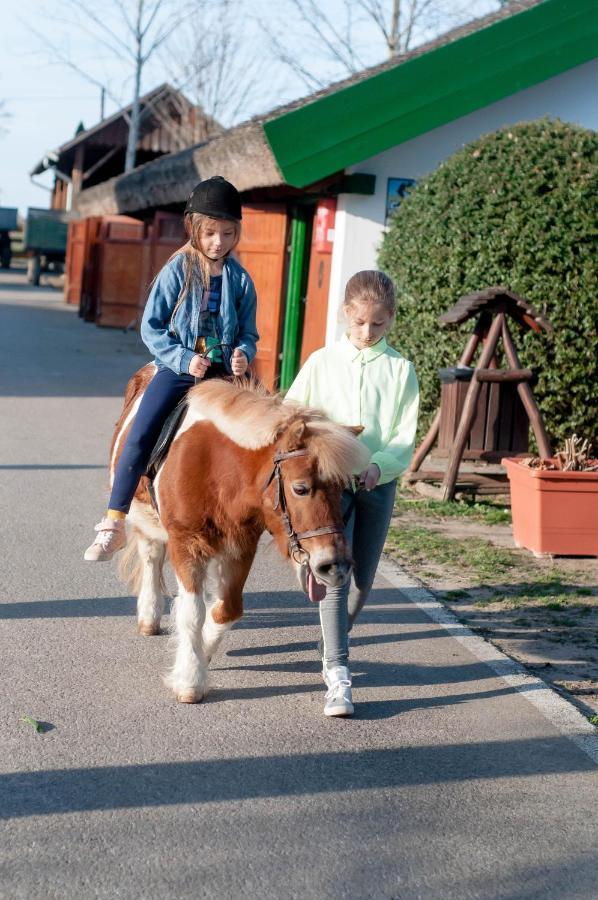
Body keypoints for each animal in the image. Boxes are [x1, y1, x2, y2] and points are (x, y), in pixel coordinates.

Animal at [109, 366, 368, 704]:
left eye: (341, 489)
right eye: (300, 488)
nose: (333, 565)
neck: (216, 467)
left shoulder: (241, 546)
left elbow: (227, 610)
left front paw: (203, 652)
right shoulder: (186, 543)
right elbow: (192, 612)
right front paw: (190, 680)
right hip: (143, 514)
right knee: (151, 556)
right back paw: (149, 614)